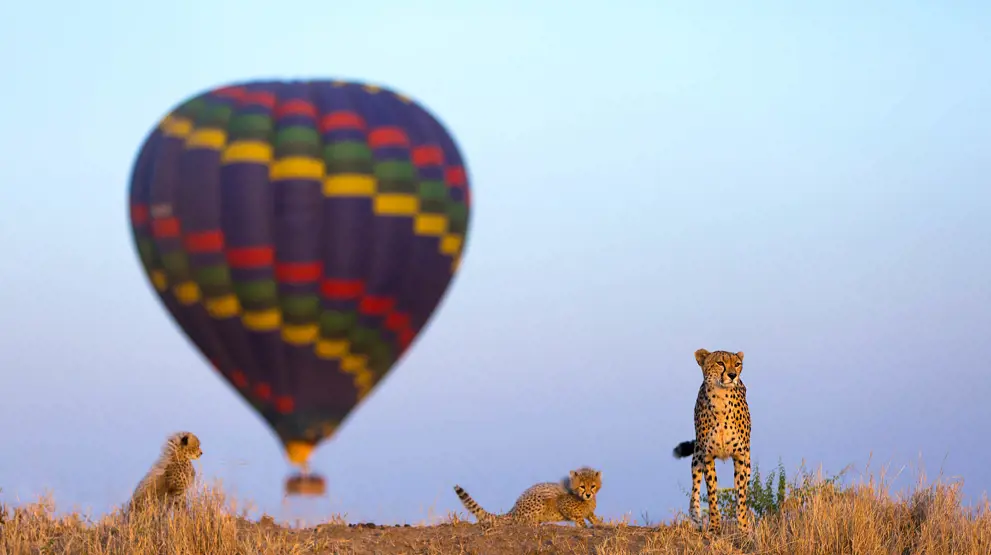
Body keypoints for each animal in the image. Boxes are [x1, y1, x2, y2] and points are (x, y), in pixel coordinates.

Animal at [452, 466, 600, 528]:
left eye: (593, 486)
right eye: (582, 486)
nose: (588, 494)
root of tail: (514, 509)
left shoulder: (589, 512)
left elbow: (593, 518)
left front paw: (600, 525)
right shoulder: (563, 505)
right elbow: (579, 518)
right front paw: (585, 526)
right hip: (540, 500)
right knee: (522, 521)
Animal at [676, 348, 752, 536]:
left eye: (737, 364)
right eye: (720, 363)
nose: (732, 375)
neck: (721, 400)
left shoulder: (740, 456)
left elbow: (741, 494)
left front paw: (743, 527)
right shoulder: (707, 456)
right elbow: (711, 493)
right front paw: (715, 526)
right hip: (697, 457)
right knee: (695, 488)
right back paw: (695, 517)